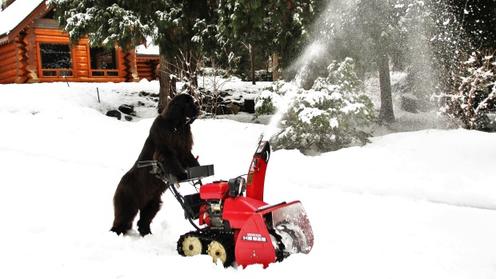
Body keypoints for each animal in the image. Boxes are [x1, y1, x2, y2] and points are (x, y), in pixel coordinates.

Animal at [111, 93, 200, 236]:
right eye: (188, 103)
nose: (198, 108)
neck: (177, 125)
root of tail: (119, 185)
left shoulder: (184, 149)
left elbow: (191, 160)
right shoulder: (165, 149)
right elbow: (172, 161)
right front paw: (182, 175)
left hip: (152, 203)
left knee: (143, 220)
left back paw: (146, 233)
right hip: (128, 204)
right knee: (122, 219)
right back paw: (116, 233)